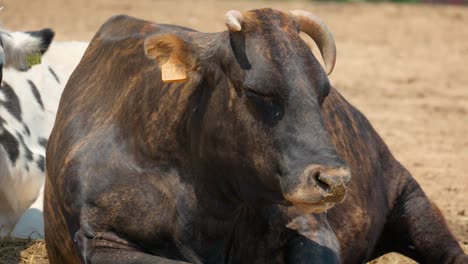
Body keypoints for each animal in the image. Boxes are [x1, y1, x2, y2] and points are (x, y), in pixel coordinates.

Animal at [44, 8, 468, 264]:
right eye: (258, 92)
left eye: (323, 91)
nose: (334, 180)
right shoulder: (105, 238)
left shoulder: (311, 226)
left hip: (410, 199)